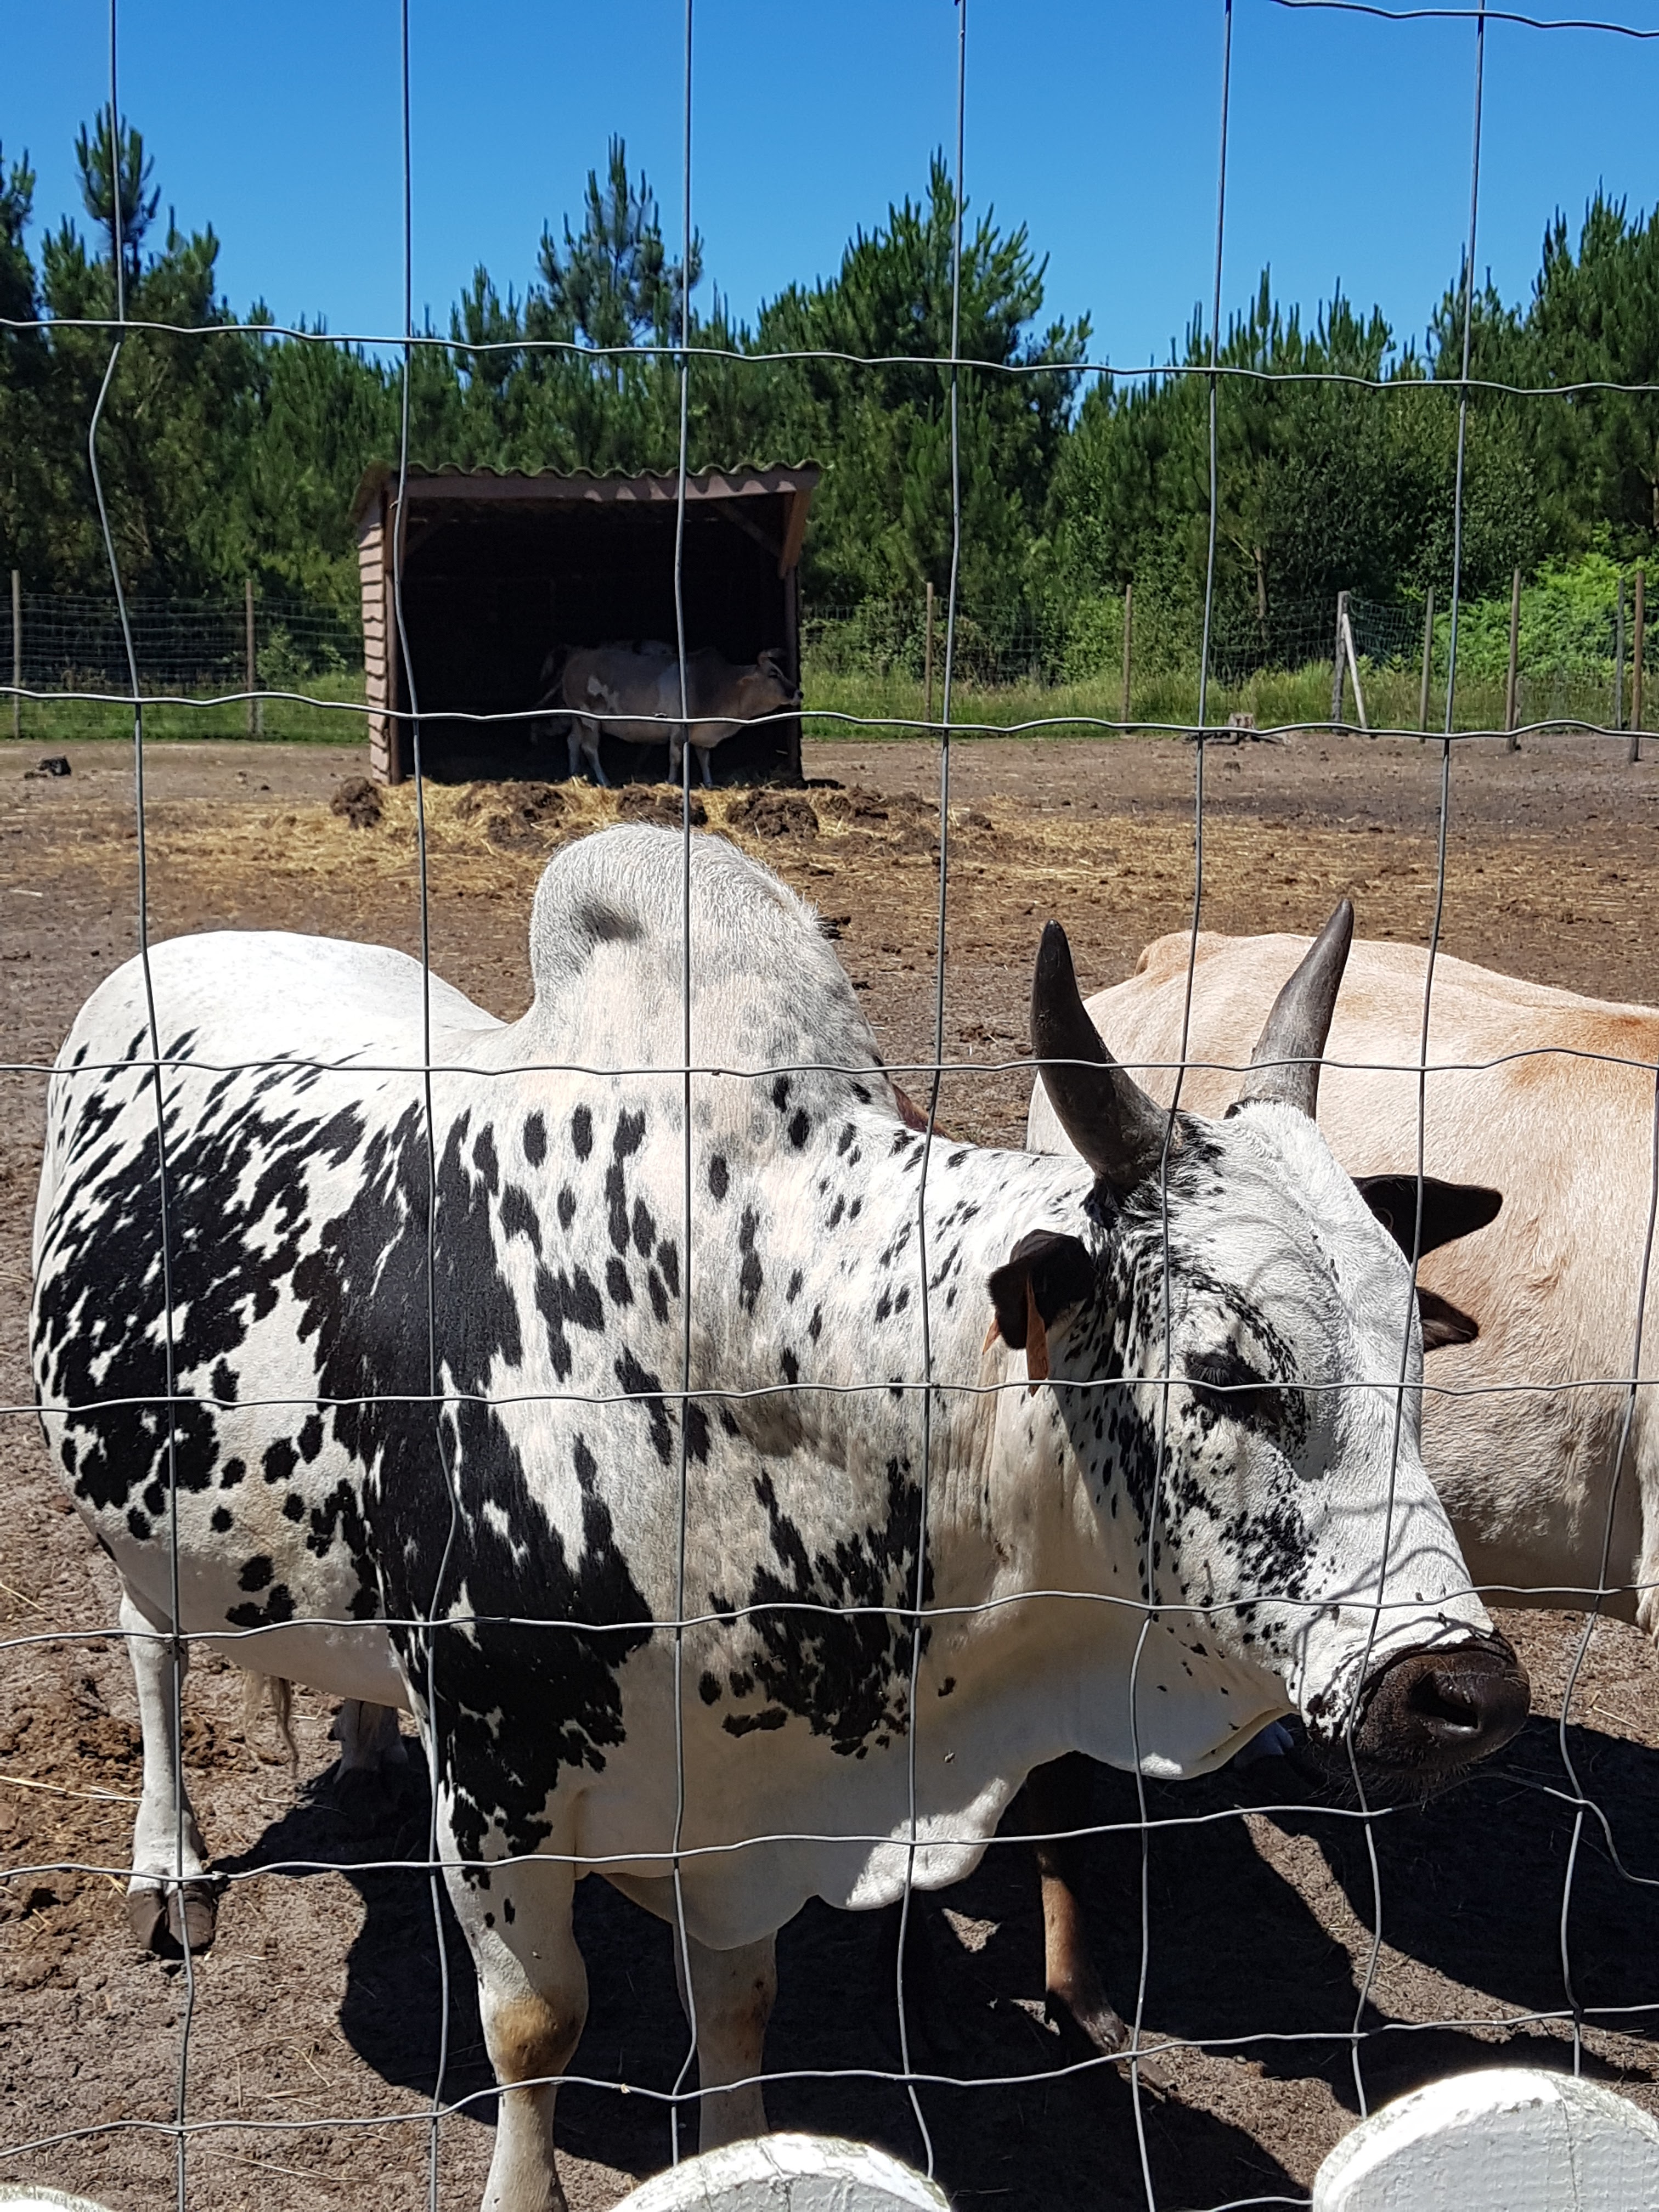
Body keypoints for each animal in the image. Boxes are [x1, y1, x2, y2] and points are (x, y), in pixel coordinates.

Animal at [32, 834, 1527, 2212]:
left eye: (1414, 1351)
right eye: (1227, 1368)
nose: (1463, 1692)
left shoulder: (739, 1820)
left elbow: (738, 2022)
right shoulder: (502, 1790)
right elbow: (537, 2029)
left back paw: (356, 1741)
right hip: (132, 1523)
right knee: (153, 1656)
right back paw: (169, 1864)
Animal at [540, 642, 799, 787]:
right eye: (774, 674)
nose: (799, 692)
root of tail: (577, 657)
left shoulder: (702, 735)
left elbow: (704, 759)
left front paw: (709, 783)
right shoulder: (678, 730)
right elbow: (676, 758)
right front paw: (672, 782)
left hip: (577, 718)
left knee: (573, 742)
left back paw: (574, 774)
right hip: (589, 719)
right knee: (590, 748)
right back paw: (604, 781)